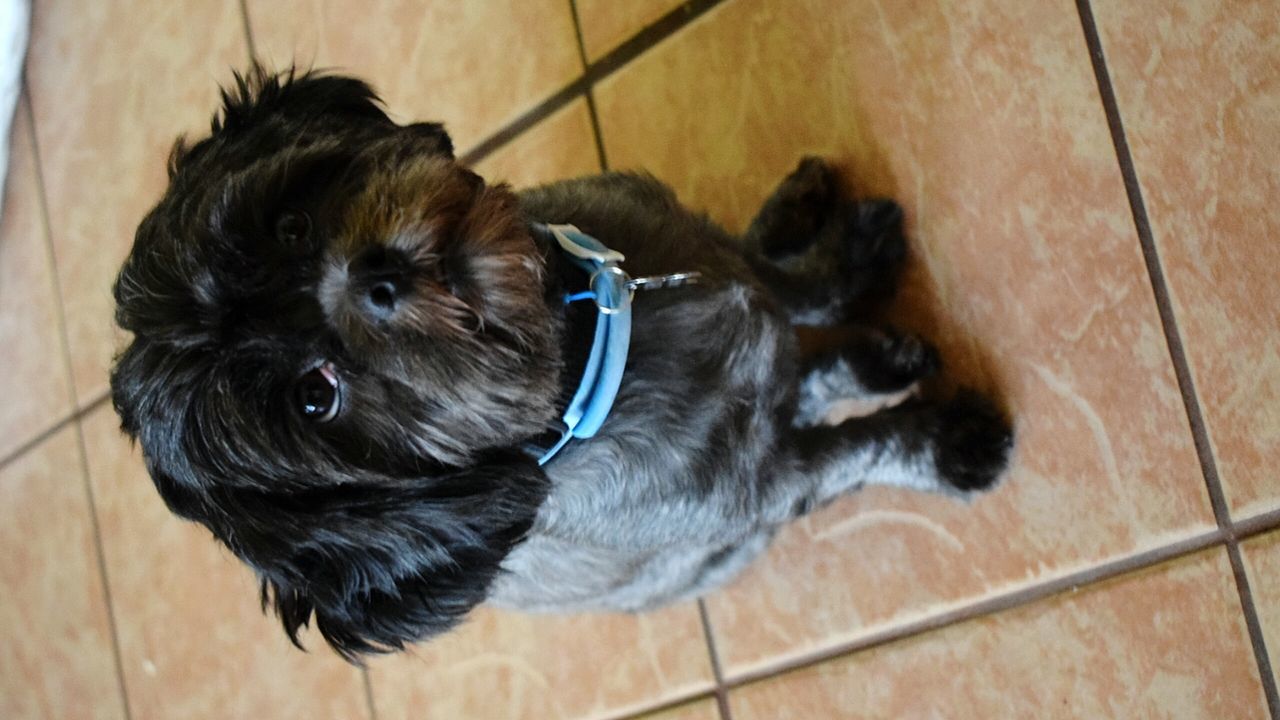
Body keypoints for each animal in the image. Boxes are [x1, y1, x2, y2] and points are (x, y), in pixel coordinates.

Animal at [110, 70, 1008, 661]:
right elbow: (864, 450)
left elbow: (791, 286)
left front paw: (844, 271)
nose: (376, 277)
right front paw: (952, 442)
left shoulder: (713, 265)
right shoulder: (773, 488)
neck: (591, 346)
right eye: (313, 398)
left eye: (290, 224)